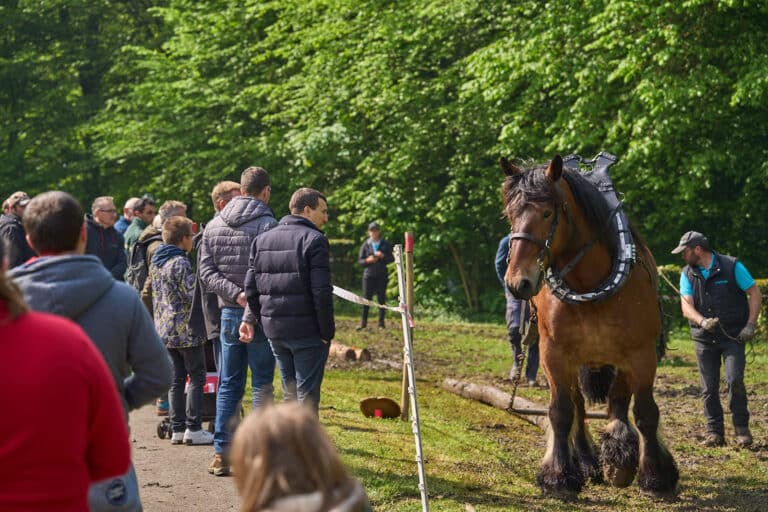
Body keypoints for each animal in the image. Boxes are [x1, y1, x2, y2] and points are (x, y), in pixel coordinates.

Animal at [504, 155, 680, 496]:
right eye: (510, 214)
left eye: (547, 212)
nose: (518, 282)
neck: (589, 286)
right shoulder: (554, 354)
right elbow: (561, 412)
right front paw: (558, 476)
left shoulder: (641, 354)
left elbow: (645, 412)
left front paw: (655, 474)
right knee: (579, 406)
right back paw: (586, 461)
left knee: (618, 402)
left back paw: (620, 454)